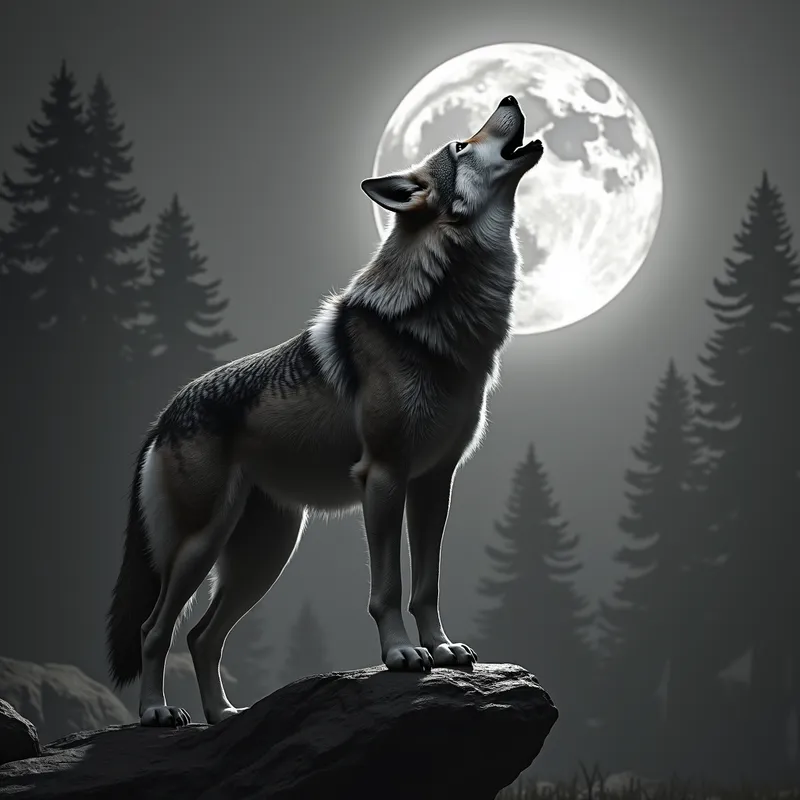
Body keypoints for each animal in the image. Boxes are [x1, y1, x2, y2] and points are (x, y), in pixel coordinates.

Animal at [105, 95, 544, 727]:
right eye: (461, 144)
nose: (510, 98)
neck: (439, 325)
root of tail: (163, 414)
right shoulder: (383, 477)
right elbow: (387, 588)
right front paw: (401, 654)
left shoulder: (434, 482)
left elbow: (427, 584)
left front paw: (440, 648)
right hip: (200, 547)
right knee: (152, 630)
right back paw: (157, 714)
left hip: (265, 555)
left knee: (202, 637)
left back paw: (225, 716)